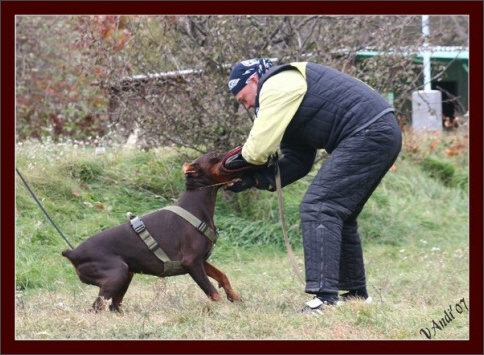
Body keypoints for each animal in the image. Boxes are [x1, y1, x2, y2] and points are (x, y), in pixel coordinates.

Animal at [62, 152, 246, 312]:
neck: (197, 207)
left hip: (126, 274)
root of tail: (73, 253)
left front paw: (235, 297)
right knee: (97, 307)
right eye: (215, 156)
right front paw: (225, 309)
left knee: (114, 305)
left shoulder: (201, 261)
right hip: (117, 273)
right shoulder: (191, 262)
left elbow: (222, 276)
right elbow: (211, 291)